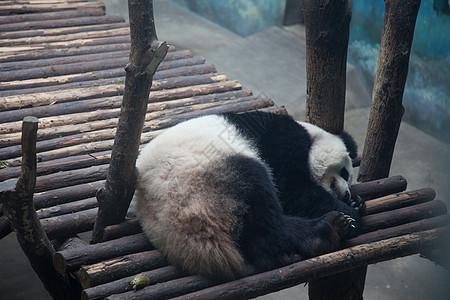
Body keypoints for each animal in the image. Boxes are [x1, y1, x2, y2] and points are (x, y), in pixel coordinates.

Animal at [131, 111, 366, 280]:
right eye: (345, 172)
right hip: (201, 179)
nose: (346, 194)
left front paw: (357, 204)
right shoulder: (281, 141)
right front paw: (351, 213)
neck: (312, 135)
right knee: (260, 207)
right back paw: (325, 230)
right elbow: (293, 189)